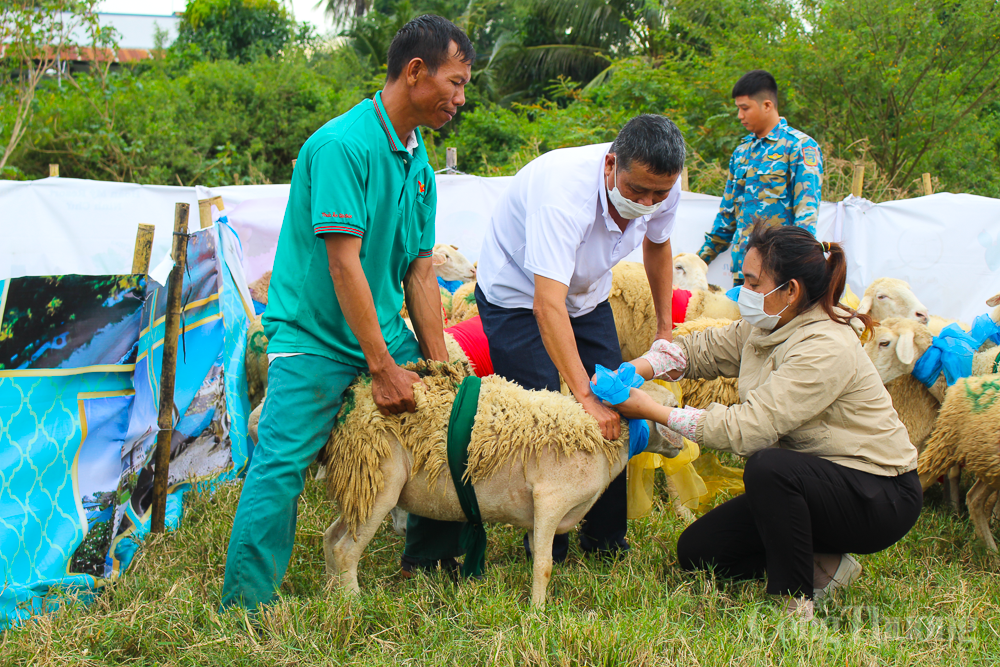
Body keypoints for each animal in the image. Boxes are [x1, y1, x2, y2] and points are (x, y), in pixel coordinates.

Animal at [324, 362, 684, 608]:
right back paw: (353, 603)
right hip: (377, 483)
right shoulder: (551, 499)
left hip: (358, 484)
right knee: (345, 549)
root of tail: (354, 404)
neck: (595, 434)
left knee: (332, 537)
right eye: (671, 406)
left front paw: (536, 604)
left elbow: (538, 555)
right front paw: (538, 613)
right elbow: (544, 565)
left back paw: (331, 595)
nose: (682, 446)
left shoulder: (539, 512)